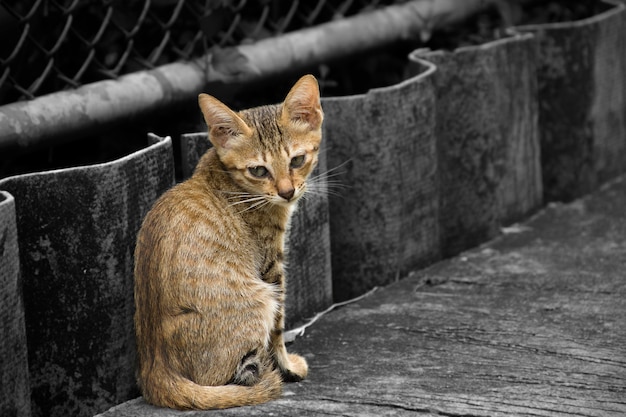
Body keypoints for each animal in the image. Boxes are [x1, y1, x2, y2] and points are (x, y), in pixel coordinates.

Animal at [135, 73, 324, 408]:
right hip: (259, 299)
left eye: (297, 160)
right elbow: (278, 328)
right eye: (258, 170)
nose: (287, 192)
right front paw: (287, 366)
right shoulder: (272, 267)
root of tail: (154, 373)